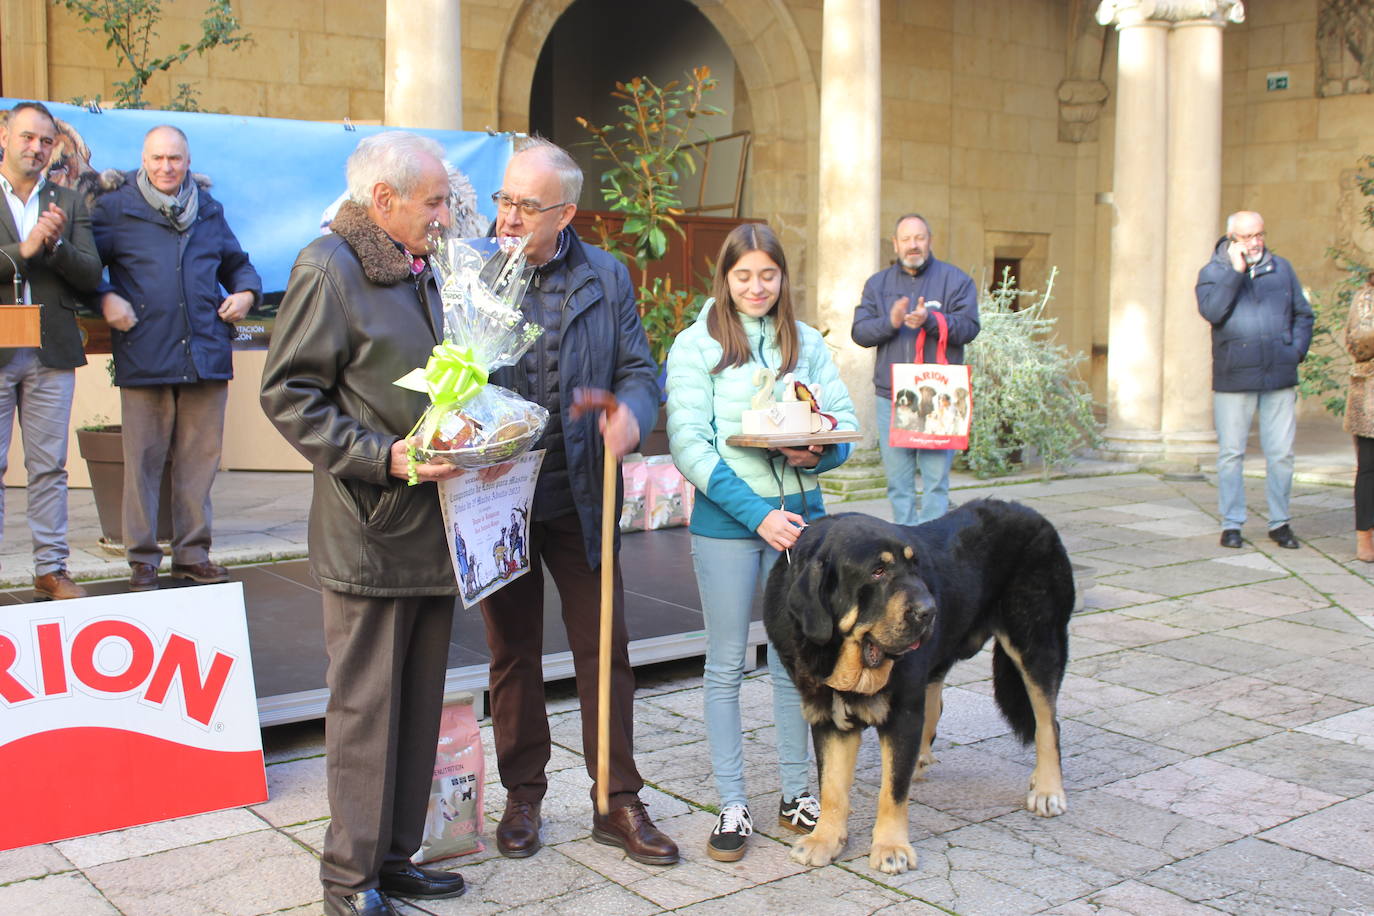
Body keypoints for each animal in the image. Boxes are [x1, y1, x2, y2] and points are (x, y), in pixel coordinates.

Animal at [763, 502, 1071, 873]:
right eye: (878, 571)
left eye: (914, 566)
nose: (929, 611)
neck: (844, 656)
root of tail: (1034, 514)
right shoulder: (829, 715)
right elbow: (833, 787)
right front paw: (825, 840)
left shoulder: (902, 713)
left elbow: (892, 789)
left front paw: (891, 847)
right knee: (937, 704)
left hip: (1035, 643)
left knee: (1048, 722)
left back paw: (1048, 790)